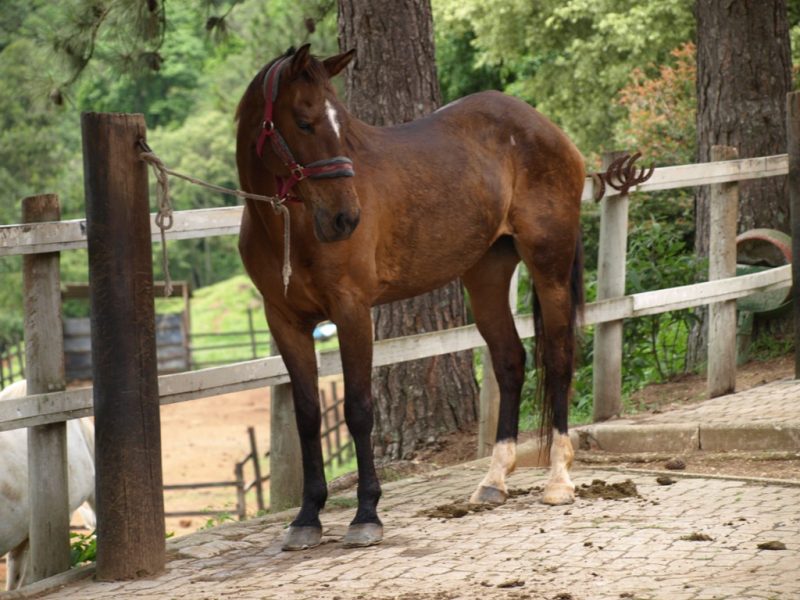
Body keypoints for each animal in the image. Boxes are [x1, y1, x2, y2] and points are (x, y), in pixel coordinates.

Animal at [234, 44, 584, 552]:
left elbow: (359, 410)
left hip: (549, 268)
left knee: (557, 358)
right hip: (486, 274)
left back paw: (558, 478)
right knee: (509, 361)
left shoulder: (352, 312)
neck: (288, 227)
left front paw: (366, 514)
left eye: (342, 123)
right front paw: (306, 518)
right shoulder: (284, 322)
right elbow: (307, 416)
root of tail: (548, 130)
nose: (345, 218)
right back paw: (494, 480)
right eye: (303, 121)